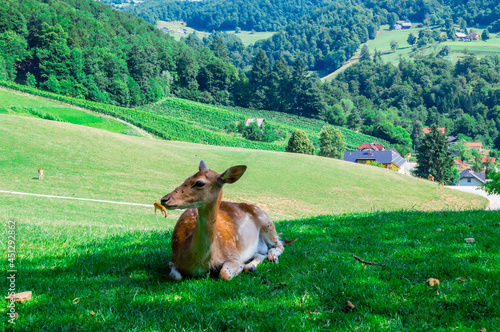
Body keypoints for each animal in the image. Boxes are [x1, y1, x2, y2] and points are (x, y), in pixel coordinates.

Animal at [160, 161, 294, 280]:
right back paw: (251, 267)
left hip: (268, 224)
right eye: (187, 178)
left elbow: (224, 273)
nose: (164, 199)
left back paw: (270, 258)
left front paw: (240, 267)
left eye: (199, 183)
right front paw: (244, 267)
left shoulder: (233, 254)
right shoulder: (173, 259)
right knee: (261, 253)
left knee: (279, 245)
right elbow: (174, 276)